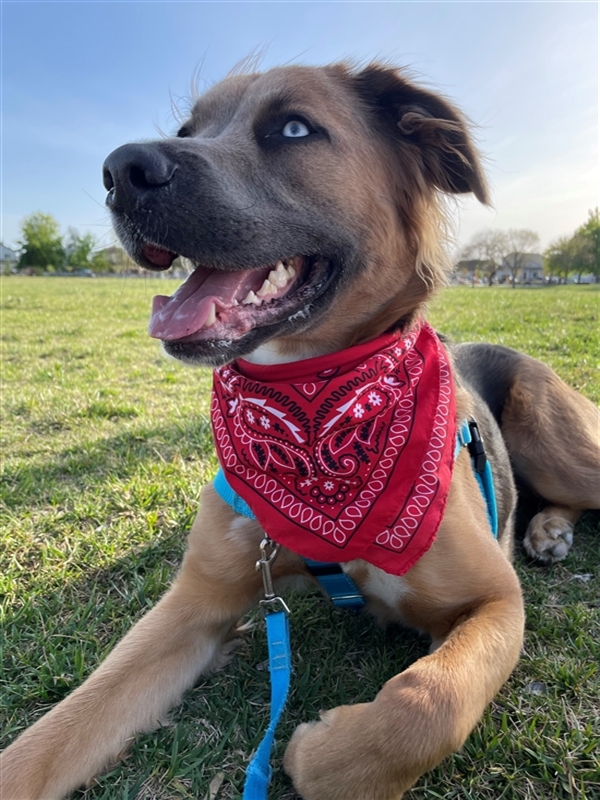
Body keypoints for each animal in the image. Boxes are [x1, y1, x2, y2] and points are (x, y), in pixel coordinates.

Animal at [2, 62, 596, 800]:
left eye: (293, 128)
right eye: (187, 130)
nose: (119, 170)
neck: (311, 414)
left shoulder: (495, 599)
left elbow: (426, 702)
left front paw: (323, 753)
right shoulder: (189, 606)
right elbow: (55, 733)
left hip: (556, 442)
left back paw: (548, 529)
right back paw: (547, 528)